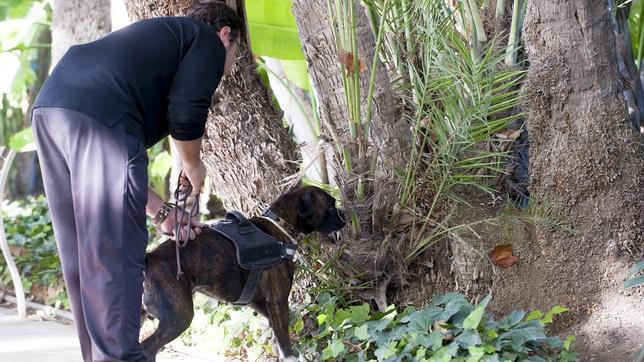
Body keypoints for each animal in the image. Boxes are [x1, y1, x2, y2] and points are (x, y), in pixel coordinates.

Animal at [139, 185, 344, 360]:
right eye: (331, 206)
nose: (344, 213)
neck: (279, 225)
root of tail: (150, 257)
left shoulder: (258, 302)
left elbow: (278, 331)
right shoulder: (277, 300)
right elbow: (284, 339)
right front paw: (291, 357)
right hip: (179, 317)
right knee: (147, 347)